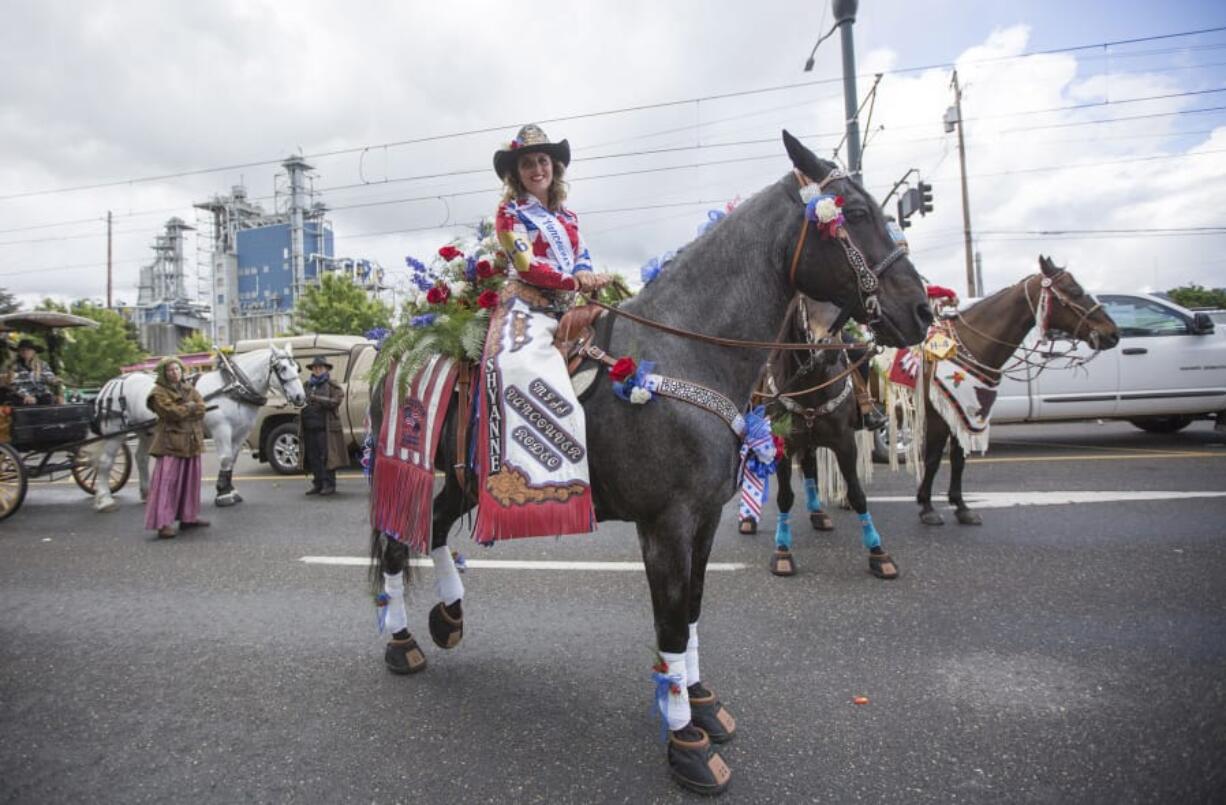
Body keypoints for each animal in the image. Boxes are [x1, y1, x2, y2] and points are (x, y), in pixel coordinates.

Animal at [88, 343, 304, 509]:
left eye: (297, 368)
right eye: (282, 368)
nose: (300, 397)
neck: (233, 387)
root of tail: (112, 383)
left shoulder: (241, 432)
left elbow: (232, 460)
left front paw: (229, 490)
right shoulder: (221, 429)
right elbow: (225, 458)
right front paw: (223, 494)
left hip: (146, 431)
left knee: (141, 458)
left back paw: (146, 494)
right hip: (115, 432)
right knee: (105, 462)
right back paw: (104, 499)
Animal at [370, 130, 926, 789]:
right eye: (858, 214)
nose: (921, 310)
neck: (685, 353)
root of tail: (409, 345)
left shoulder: (704, 519)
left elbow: (692, 611)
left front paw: (702, 703)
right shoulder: (665, 524)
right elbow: (669, 622)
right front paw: (687, 743)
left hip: (464, 478)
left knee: (430, 530)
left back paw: (447, 619)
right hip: (410, 468)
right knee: (399, 543)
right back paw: (401, 643)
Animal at [917, 254, 1118, 524]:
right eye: (1074, 290)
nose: (1113, 333)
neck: (966, 345)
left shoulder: (960, 411)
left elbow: (959, 460)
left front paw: (961, 506)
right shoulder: (937, 414)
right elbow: (932, 459)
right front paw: (927, 506)